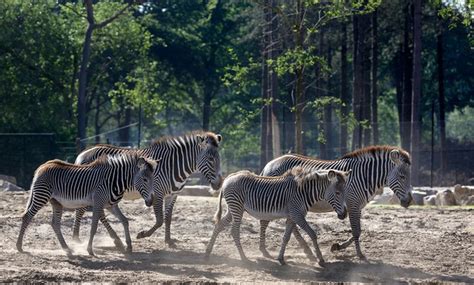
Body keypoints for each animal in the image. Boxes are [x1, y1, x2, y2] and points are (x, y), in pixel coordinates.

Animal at [16, 152, 157, 254]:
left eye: (152, 179)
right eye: (145, 179)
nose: (151, 201)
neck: (114, 181)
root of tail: (43, 166)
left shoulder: (111, 205)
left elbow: (125, 221)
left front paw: (128, 246)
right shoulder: (98, 203)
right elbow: (93, 227)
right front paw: (90, 250)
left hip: (56, 202)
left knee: (55, 224)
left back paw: (67, 248)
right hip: (41, 196)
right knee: (27, 216)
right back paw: (19, 247)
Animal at [72, 130, 224, 245]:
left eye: (219, 158)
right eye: (211, 159)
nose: (219, 184)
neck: (174, 166)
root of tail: (84, 153)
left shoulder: (173, 195)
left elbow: (168, 218)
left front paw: (168, 240)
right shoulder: (157, 193)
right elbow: (159, 220)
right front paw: (143, 234)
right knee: (81, 210)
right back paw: (76, 238)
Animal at [206, 166, 350, 266]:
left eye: (344, 192)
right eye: (337, 193)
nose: (344, 214)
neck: (304, 192)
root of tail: (230, 177)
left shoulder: (292, 216)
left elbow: (286, 237)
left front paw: (281, 259)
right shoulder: (297, 214)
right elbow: (312, 234)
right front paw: (320, 260)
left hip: (234, 208)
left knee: (219, 225)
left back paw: (208, 251)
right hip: (237, 207)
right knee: (234, 231)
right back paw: (243, 257)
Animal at [262, 145, 412, 258]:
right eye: (402, 176)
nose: (409, 201)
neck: (364, 177)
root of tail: (269, 164)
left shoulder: (357, 206)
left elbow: (358, 230)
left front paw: (337, 246)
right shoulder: (352, 204)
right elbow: (356, 231)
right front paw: (359, 254)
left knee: (292, 226)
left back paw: (307, 251)